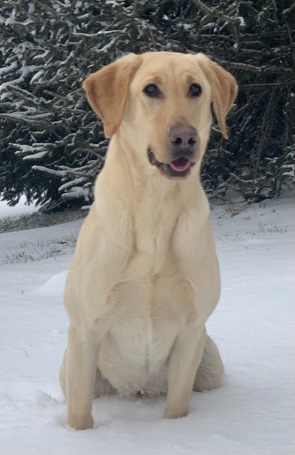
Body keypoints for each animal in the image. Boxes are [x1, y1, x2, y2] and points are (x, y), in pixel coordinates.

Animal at [60, 52, 238, 432]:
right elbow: (80, 414)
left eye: (195, 89)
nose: (185, 138)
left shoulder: (192, 330)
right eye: (151, 89)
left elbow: (178, 405)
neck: (156, 207)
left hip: (211, 363)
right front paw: (79, 437)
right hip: (70, 366)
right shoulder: (85, 328)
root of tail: (139, 391)